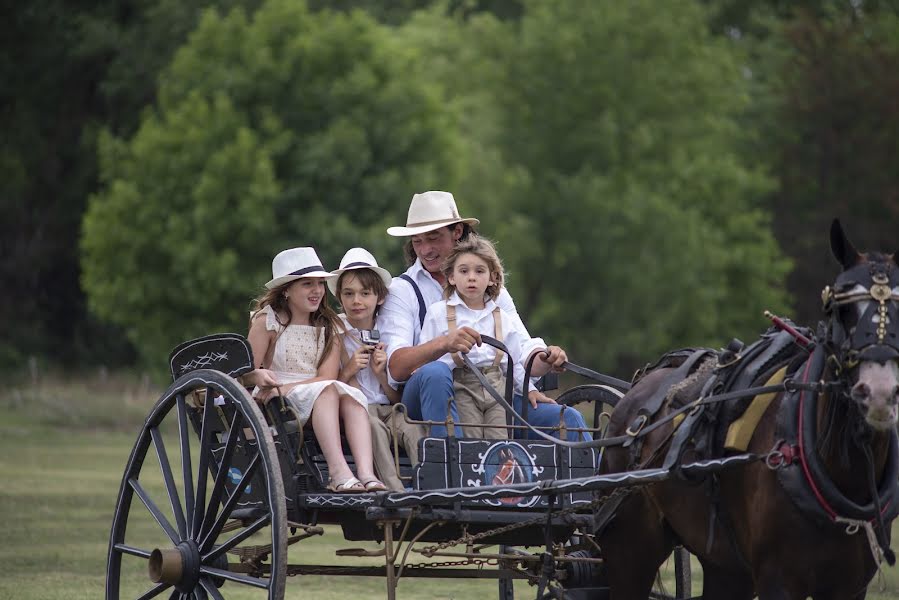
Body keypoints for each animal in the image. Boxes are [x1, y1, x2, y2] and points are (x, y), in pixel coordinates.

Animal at [596, 221, 899, 600]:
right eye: (841, 309)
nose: (879, 392)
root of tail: (635, 390)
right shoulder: (778, 578)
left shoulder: (851, 584)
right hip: (631, 548)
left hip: (724, 565)